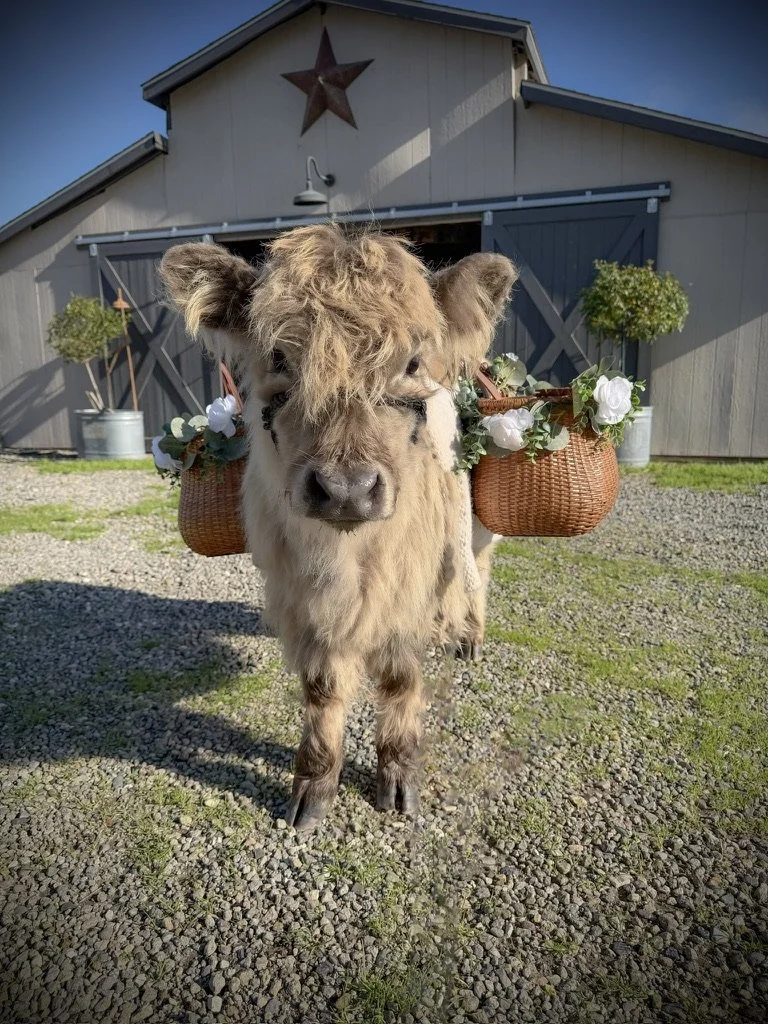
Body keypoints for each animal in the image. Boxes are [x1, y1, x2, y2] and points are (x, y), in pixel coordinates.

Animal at [160, 225, 517, 830]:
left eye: (412, 362)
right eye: (279, 356)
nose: (346, 489)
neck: (349, 561)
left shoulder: (409, 591)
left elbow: (400, 676)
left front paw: (398, 780)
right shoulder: (302, 597)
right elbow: (322, 687)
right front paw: (314, 787)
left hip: (476, 534)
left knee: (476, 576)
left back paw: (468, 637)